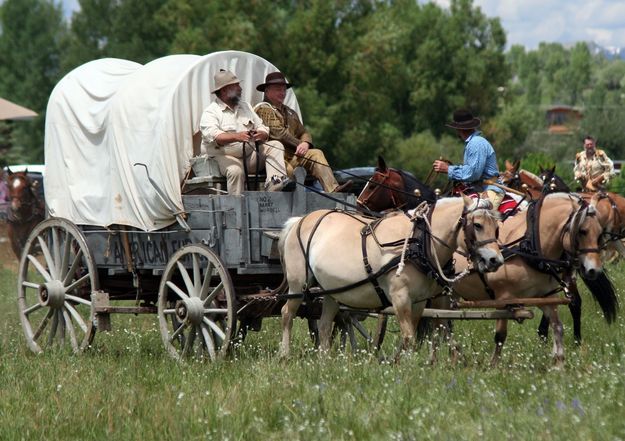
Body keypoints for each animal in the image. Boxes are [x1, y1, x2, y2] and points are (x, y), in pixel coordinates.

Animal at [278, 196, 502, 358]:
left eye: (497, 228)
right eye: (478, 225)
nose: (495, 260)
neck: (419, 241)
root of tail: (299, 220)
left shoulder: (419, 301)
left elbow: (412, 335)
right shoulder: (399, 297)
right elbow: (409, 337)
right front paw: (406, 368)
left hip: (332, 290)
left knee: (325, 325)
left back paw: (325, 361)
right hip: (298, 284)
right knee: (287, 314)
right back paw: (285, 355)